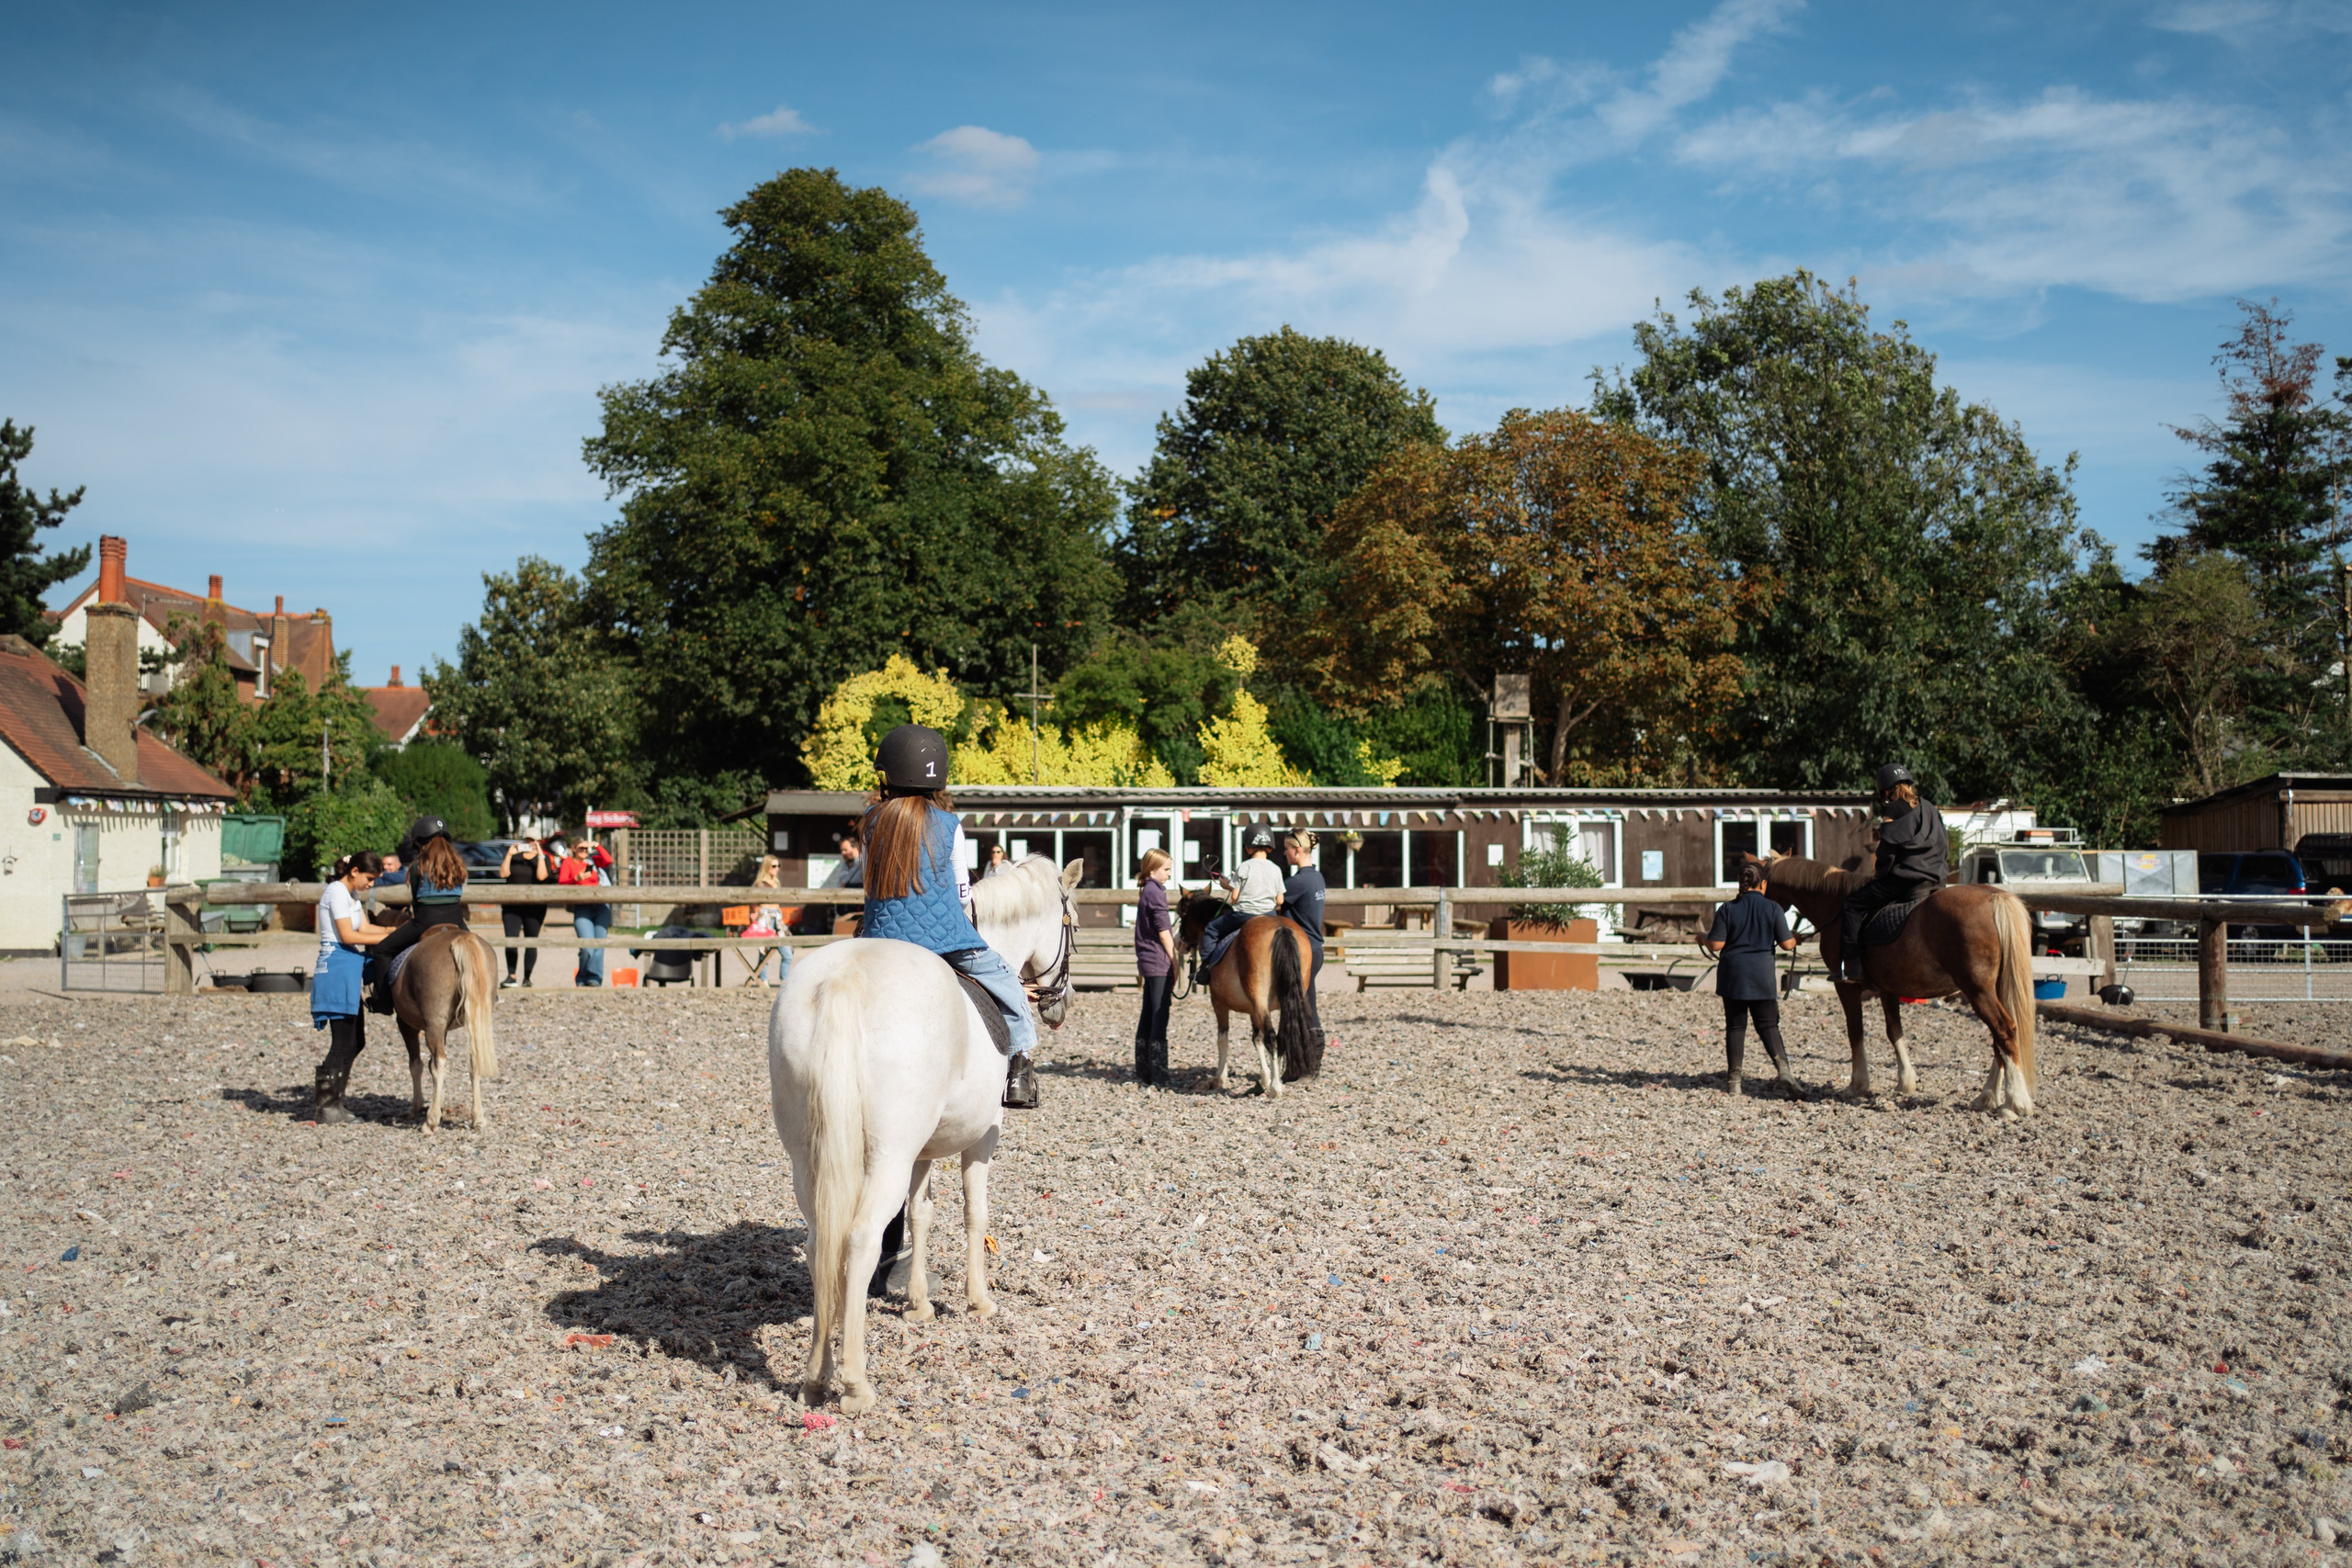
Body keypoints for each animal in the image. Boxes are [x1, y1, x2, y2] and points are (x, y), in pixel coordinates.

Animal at [388, 924, 501, 1134]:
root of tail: (461, 938)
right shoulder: (444, 1030)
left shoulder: (406, 1024)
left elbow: (416, 1065)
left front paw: (417, 1107)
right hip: (473, 1021)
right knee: (473, 1063)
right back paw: (478, 1118)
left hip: (433, 1024)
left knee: (439, 1063)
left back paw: (430, 1121)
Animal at [768, 854, 1081, 1415]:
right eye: (1075, 926)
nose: (1057, 1007)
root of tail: (844, 979)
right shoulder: (983, 1137)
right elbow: (974, 1212)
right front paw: (978, 1300)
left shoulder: (920, 1153)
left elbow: (919, 1215)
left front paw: (917, 1305)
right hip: (886, 1156)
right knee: (861, 1239)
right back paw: (854, 1384)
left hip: (808, 1157)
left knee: (820, 1241)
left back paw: (815, 1378)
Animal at [1170, 888, 1323, 1096]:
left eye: (1182, 913)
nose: (1178, 942)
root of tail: (1281, 928)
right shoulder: (1253, 1009)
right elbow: (1256, 1038)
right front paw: (1265, 1077)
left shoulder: (1218, 1003)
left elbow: (1223, 1038)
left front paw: (1220, 1077)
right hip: (1290, 998)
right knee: (1284, 1035)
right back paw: (1280, 1078)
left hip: (1259, 1001)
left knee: (1272, 1037)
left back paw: (1276, 1088)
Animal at [1754, 852, 2038, 1117]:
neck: (1835, 906)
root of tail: (1994, 897)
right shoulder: (1887, 989)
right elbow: (1894, 1031)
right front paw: (1906, 1082)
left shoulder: (1846, 987)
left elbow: (1855, 1032)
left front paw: (1858, 1085)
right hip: (1991, 990)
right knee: (2000, 1039)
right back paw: (1988, 1097)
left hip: (1977, 990)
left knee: (2004, 1031)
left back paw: (2015, 1103)